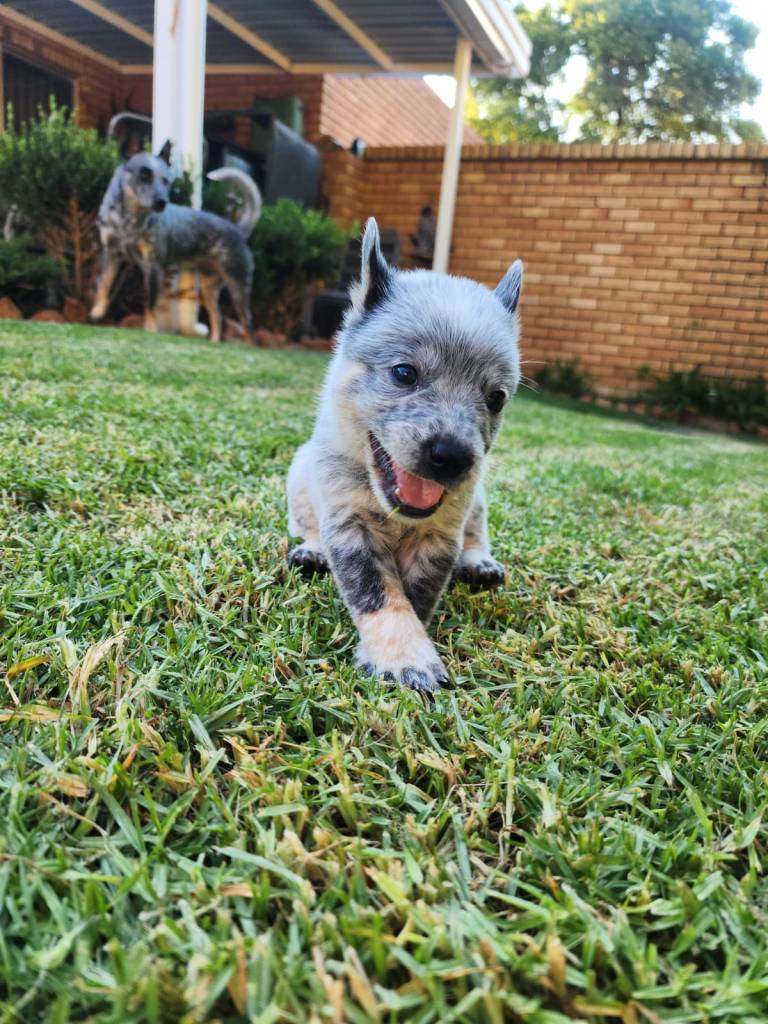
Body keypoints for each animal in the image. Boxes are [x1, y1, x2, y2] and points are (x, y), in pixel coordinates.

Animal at [90, 143, 261, 341]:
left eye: (166, 180)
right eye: (144, 174)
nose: (162, 202)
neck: (129, 221)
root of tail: (238, 229)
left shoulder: (153, 265)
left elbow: (150, 302)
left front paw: (150, 330)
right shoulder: (111, 254)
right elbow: (104, 283)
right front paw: (97, 311)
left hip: (237, 286)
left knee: (248, 326)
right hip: (208, 288)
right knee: (217, 317)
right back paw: (213, 342)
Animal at [286, 218, 522, 693]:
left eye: (496, 398)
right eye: (403, 373)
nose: (452, 456)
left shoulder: (439, 536)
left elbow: (414, 595)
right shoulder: (349, 525)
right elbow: (380, 594)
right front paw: (403, 658)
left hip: (477, 502)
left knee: (477, 535)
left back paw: (479, 562)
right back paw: (311, 550)